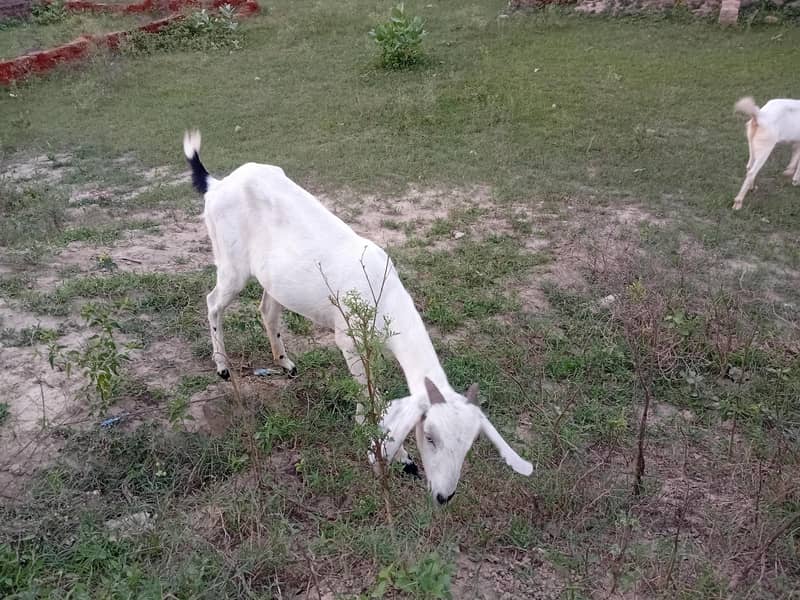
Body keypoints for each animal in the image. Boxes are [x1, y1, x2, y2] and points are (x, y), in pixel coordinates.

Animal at [182, 130, 533, 503]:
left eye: (469, 444)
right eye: (430, 436)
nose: (445, 495)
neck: (384, 296)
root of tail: (216, 185)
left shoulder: (373, 347)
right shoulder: (347, 338)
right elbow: (370, 395)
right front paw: (400, 458)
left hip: (273, 279)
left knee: (266, 309)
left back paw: (286, 364)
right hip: (230, 263)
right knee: (212, 301)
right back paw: (222, 367)